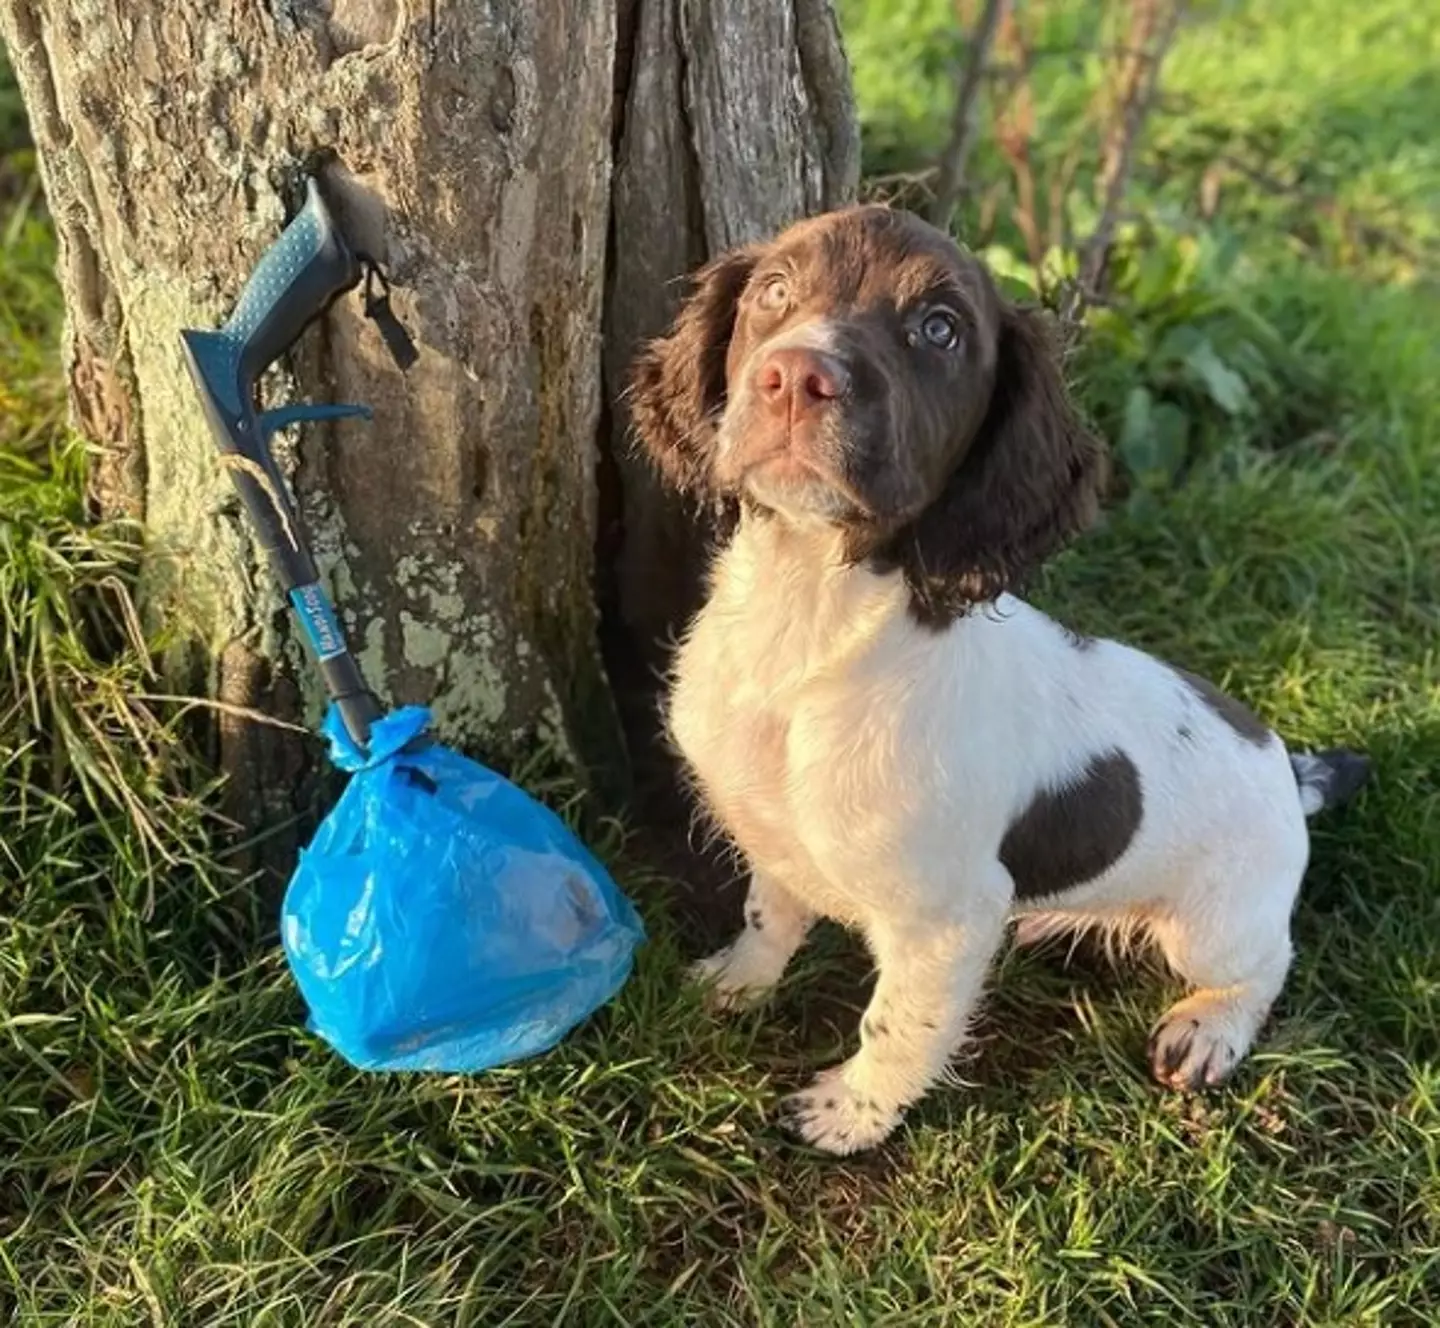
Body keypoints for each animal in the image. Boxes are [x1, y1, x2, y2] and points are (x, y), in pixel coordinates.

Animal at [624, 204, 1365, 1146]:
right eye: (775, 293)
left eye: (939, 330)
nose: (794, 377)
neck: (809, 625)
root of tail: (1288, 768)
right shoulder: (776, 838)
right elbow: (768, 914)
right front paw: (735, 984)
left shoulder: (947, 918)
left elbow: (899, 1022)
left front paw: (850, 1114)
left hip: (1214, 921)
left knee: (1266, 962)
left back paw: (1209, 1029)